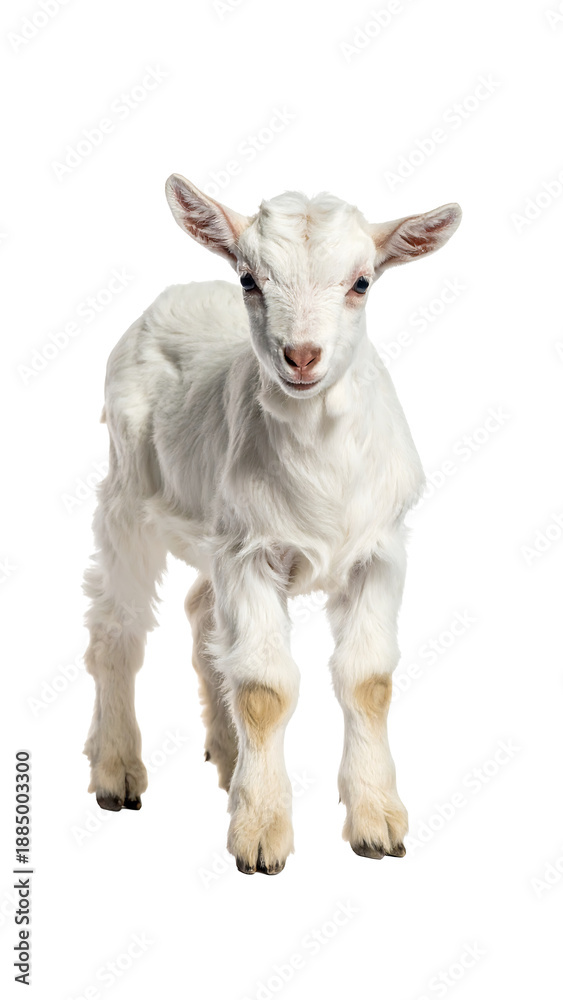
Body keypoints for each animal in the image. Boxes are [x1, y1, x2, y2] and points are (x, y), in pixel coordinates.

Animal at [82, 174, 461, 874]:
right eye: (249, 278)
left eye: (362, 282)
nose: (301, 355)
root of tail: (177, 291)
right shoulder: (249, 552)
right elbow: (265, 690)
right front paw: (260, 833)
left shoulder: (380, 550)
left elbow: (368, 680)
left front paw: (377, 823)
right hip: (127, 496)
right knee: (117, 628)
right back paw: (117, 769)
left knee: (202, 613)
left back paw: (228, 755)